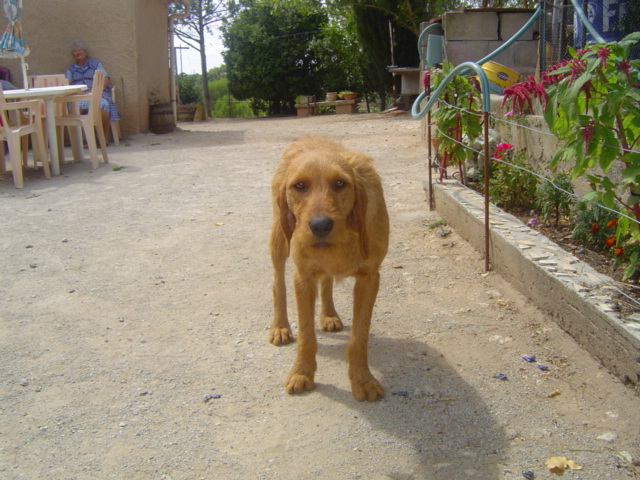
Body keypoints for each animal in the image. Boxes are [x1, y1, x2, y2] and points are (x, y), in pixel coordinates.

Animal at [268, 136, 388, 402]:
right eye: (299, 185)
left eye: (340, 183)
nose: (320, 226)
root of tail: (307, 137)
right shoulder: (302, 278)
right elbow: (306, 335)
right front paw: (301, 373)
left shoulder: (369, 278)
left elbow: (359, 337)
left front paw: (362, 380)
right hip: (279, 239)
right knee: (278, 284)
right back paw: (280, 326)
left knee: (327, 281)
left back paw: (329, 315)